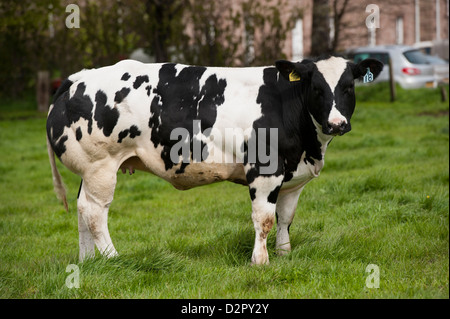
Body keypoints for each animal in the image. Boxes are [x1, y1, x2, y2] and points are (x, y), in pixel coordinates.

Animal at [46, 55, 384, 264]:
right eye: (316, 87)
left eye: (349, 87)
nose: (337, 124)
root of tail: (78, 77)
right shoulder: (265, 169)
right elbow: (264, 218)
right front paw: (260, 261)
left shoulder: (292, 176)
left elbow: (285, 218)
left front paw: (284, 254)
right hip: (100, 165)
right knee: (94, 211)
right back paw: (113, 258)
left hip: (89, 170)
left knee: (81, 209)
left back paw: (89, 262)